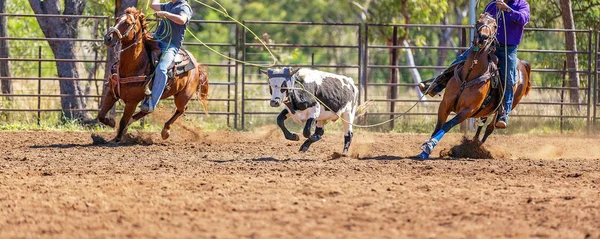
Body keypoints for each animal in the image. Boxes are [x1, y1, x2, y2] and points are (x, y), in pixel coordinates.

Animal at [99, 7, 210, 142]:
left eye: (128, 23)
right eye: (117, 19)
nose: (108, 38)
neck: (134, 65)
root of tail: (196, 65)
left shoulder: (132, 102)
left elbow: (123, 121)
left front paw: (117, 139)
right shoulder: (112, 93)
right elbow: (101, 114)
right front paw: (110, 122)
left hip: (183, 96)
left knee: (181, 109)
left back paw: (165, 130)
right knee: (147, 110)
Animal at [418, 12, 528, 159]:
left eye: (495, 26)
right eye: (478, 21)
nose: (483, 37)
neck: (469, 75)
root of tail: (522, 64)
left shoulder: (468, 110)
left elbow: (447, 125)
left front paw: (429, 145)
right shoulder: (444, 105)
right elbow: (438, 126)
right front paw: (424, 151)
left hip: (504, 106)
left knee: (490, 127)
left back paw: (478, 147)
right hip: (486, 109)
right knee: (482, 124)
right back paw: (473, 144)